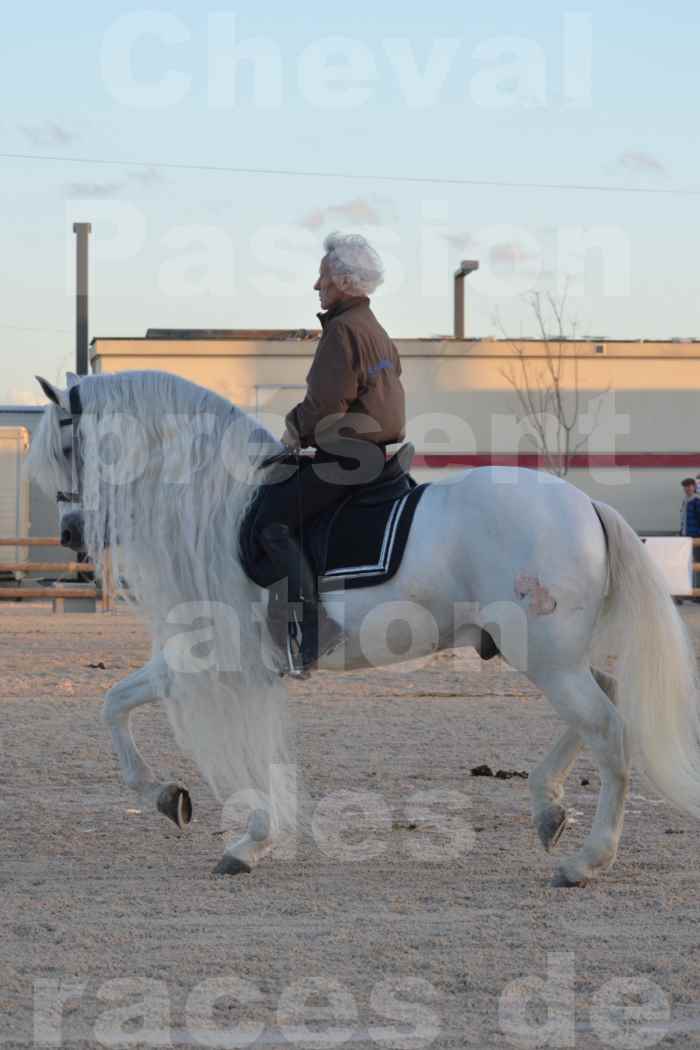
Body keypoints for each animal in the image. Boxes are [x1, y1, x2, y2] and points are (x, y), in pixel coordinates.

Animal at [28, 371, 700, 886]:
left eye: (69, 448)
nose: (69, 534)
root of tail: (586, 505)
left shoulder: (211, 655)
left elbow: (208, 737)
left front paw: (248, 840)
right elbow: (114, 703)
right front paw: (167, 796)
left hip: (546, 656)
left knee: (607, 728)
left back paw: (586, 861)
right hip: (549, 655)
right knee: (605, 701)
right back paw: (548, 810)